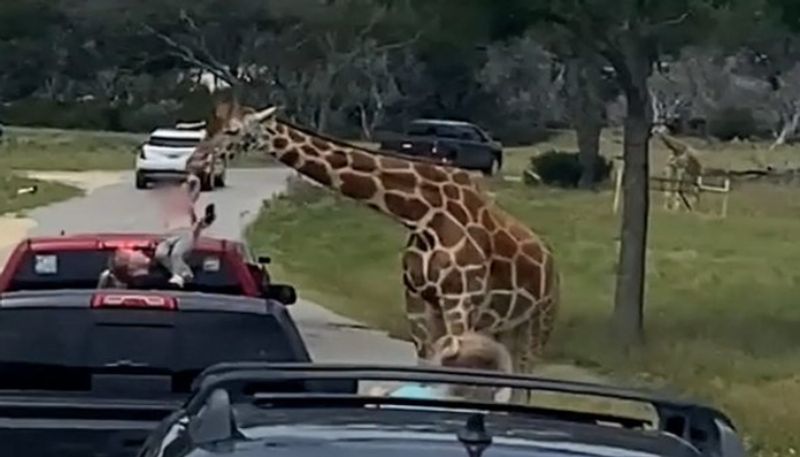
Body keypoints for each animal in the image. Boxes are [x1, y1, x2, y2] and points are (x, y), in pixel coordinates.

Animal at [209, 99, 560, 374]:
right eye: (213, 125)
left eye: (233, 131)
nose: (204, 157)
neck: (423, 215)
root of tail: (550, 261)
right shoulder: (418, 300)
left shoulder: (460, 301)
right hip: (503, 327)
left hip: (537, 323)